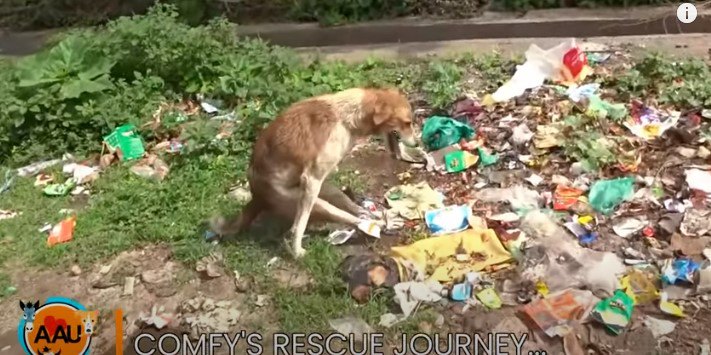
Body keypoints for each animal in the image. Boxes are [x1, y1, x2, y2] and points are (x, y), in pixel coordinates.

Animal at [210, 87, 418, 258]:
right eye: (407, 123)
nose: (417, 143)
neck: (346, 116)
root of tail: (257, 197)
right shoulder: (311, 179)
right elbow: (299, 226)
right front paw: (296, 250)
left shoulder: (316, 181)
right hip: (316, 201)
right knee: (346, 219)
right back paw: (380, 224)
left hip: (327, 191)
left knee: (355, 210)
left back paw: (378, 218)